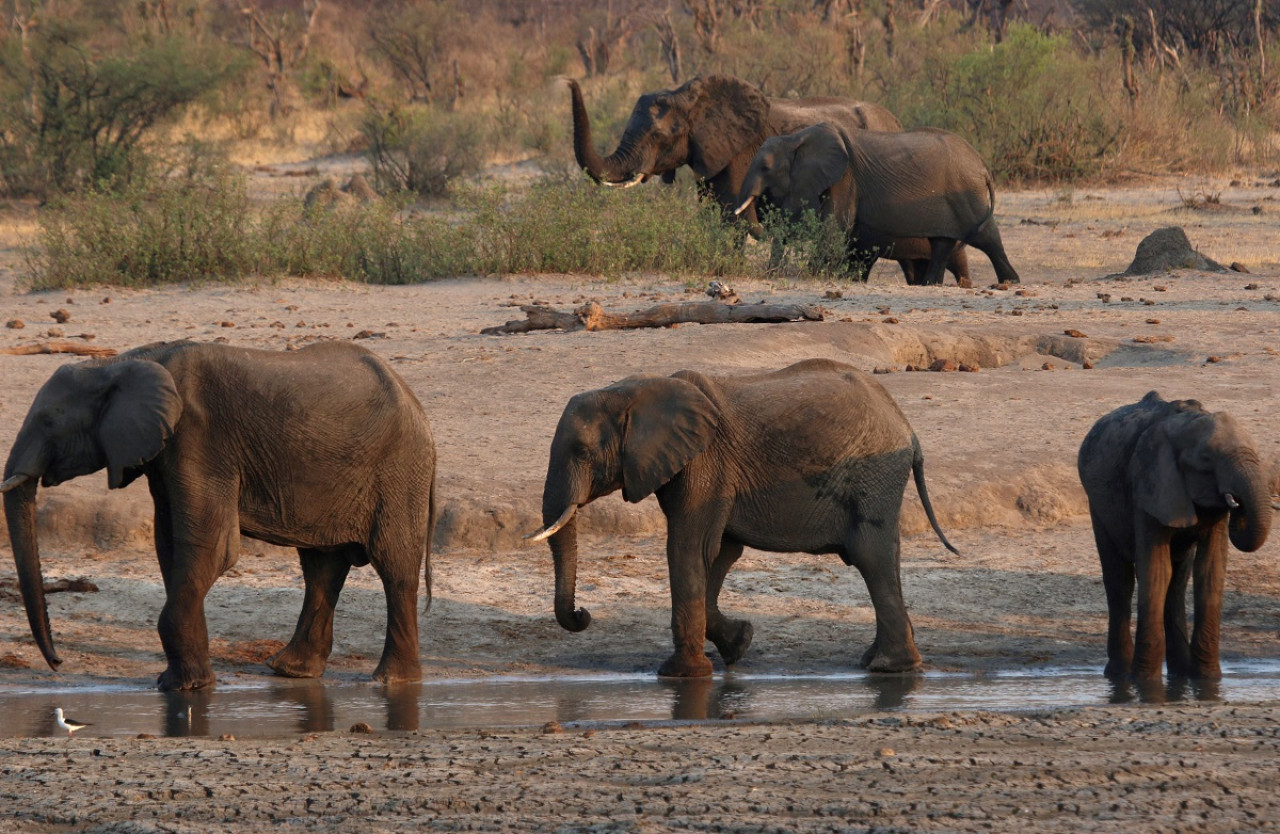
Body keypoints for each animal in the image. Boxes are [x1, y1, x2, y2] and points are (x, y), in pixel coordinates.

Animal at [2, 337, 437, 690]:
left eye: (48, 421)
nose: (57, 662)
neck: (124, 361)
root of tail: (416, 404)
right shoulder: (166, 452)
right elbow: (170, 545)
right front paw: (183, 682)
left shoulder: (199, 439)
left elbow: (212, 548)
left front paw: (183, 688)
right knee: (321, 566)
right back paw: (290, 671)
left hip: (399, 470)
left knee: (393, 566)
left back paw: (391, 680)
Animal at [524, 358, 957, 675]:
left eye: (582, 451)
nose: (583, 614)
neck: (636, 389)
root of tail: (907, 426)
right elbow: (719, 554)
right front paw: (740, 643)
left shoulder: (704, 464)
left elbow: (688, 549)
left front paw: (681, 675)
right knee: (886, 557)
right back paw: (879, 661)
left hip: (874, 476)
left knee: (872, 556)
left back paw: (888, 667)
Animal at [565, 78, 962, 286]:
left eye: (659, 136)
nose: (569, 81)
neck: (691, 96)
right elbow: (711, 215)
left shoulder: (739, 152)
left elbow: (730, 216)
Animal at [732, 121, 1018, 286]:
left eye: (765, 167)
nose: (771, 274)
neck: (795, 138)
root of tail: (982, 165)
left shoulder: (845, 178)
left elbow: (835, 226)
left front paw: (814, 275)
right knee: (942, 241)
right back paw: (930, 284)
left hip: (967, 194)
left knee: (985, 235)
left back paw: (1010, 281)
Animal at [1080, 393, 1269, 680]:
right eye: (1206, 459)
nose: (1238, 504)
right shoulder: (1148, 486)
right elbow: (1155, 570)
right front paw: (1145, 682)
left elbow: (1210, 570)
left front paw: (1207, 679)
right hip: (1099, 508)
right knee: (1120, 581)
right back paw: (1120, 674)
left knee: (1177, 582)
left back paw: (1180, 674)